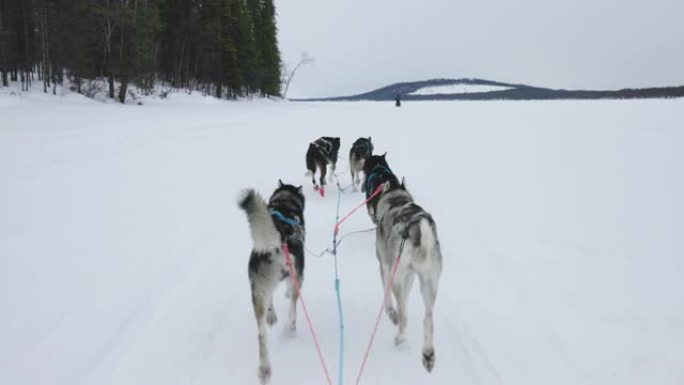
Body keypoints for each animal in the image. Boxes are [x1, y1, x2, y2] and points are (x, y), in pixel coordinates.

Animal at [239, 181, 306, 384]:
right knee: (293, 305)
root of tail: (278, 239)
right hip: (296, 277)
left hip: (257, 292)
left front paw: (272, 316)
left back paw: (264, 369)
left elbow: (270, 301)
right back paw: (289, 328)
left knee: (261, 333)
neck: (284, 202)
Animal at [364, 154, 444, 372]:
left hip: (397, 275)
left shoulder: (385, 267)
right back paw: (428, 354)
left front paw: (391, 313)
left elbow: (390, 300)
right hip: (429, 284)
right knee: (428, 318)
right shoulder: (410, 276)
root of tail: (418, 225)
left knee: (403, 314)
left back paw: (399, 336)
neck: (396, 200)